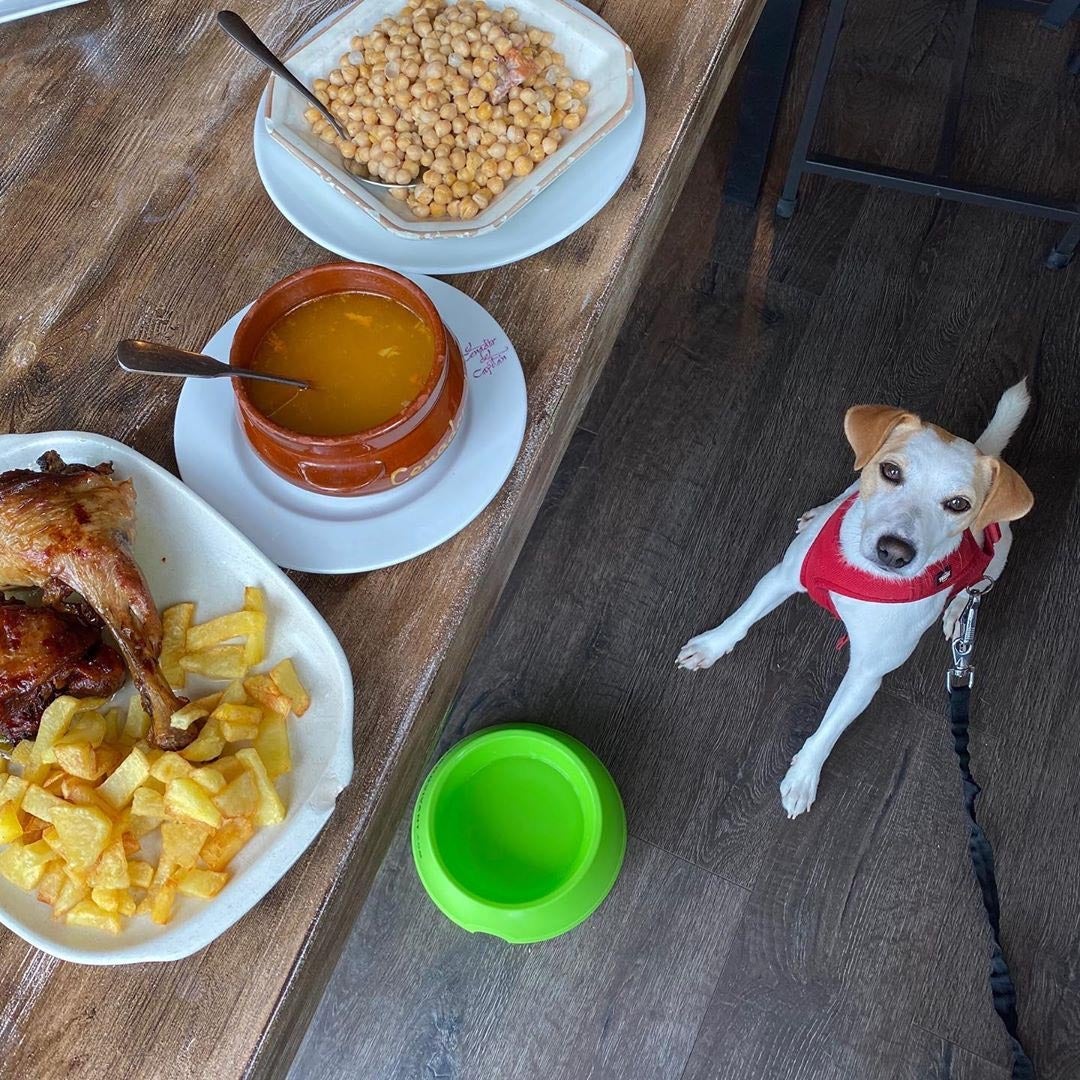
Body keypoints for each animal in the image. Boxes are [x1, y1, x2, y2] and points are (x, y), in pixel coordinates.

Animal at [678, 384, 1032, 812]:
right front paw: (711, 646)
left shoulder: (866, 675)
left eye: (958, 504)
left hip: (992, 568)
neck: (865, 578)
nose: (894, 552)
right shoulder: (782, 578)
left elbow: (829, 728)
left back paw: (958, 612)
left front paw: (803, 776)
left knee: (971, 592)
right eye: (891, 471)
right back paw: (818, 513)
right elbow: (741, 620)